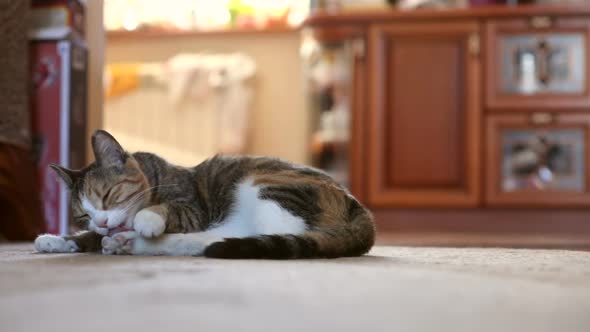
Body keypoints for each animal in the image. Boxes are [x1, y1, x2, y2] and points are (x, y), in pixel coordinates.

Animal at [34, 130, 376, 260]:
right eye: (83, 214)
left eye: (107, 195)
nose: (103, 223)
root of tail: (359, 207)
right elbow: (88, 237)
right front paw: (57, 240)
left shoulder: (192, 208)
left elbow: (164, 208)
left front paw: (146, 219)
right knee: (218, 238)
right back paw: (127, 243)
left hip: (267, 185)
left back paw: (132, 242)